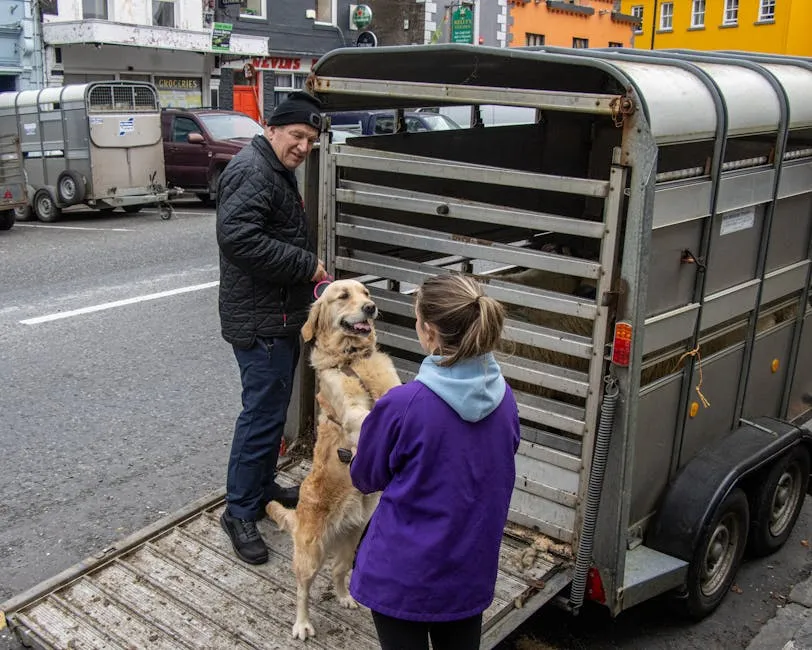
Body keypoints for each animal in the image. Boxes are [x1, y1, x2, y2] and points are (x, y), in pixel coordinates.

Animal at [268, 278, 402, 636]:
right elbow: (364, 417)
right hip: (311, 553)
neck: (352, 358)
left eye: (366, 294)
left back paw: (345, 597)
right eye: (343, 296)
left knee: (339, 572)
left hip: (351, 540)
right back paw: (302, 624)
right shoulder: (350, 410)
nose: (370, 307)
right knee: (303, 589)